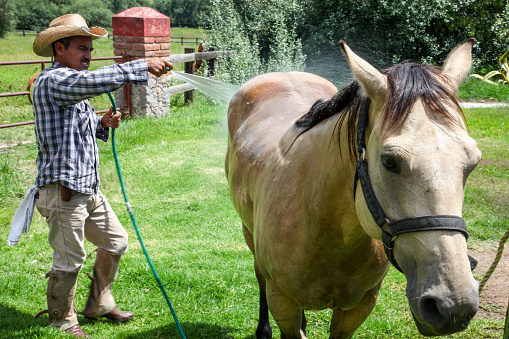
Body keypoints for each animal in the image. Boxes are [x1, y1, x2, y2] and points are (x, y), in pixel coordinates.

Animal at [225, 38, 480, 338]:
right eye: (389, 162)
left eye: (473, 161)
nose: (454, 304)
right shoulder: (283, 303)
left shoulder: (359, 307)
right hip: (249, 232)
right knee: (259, 274)